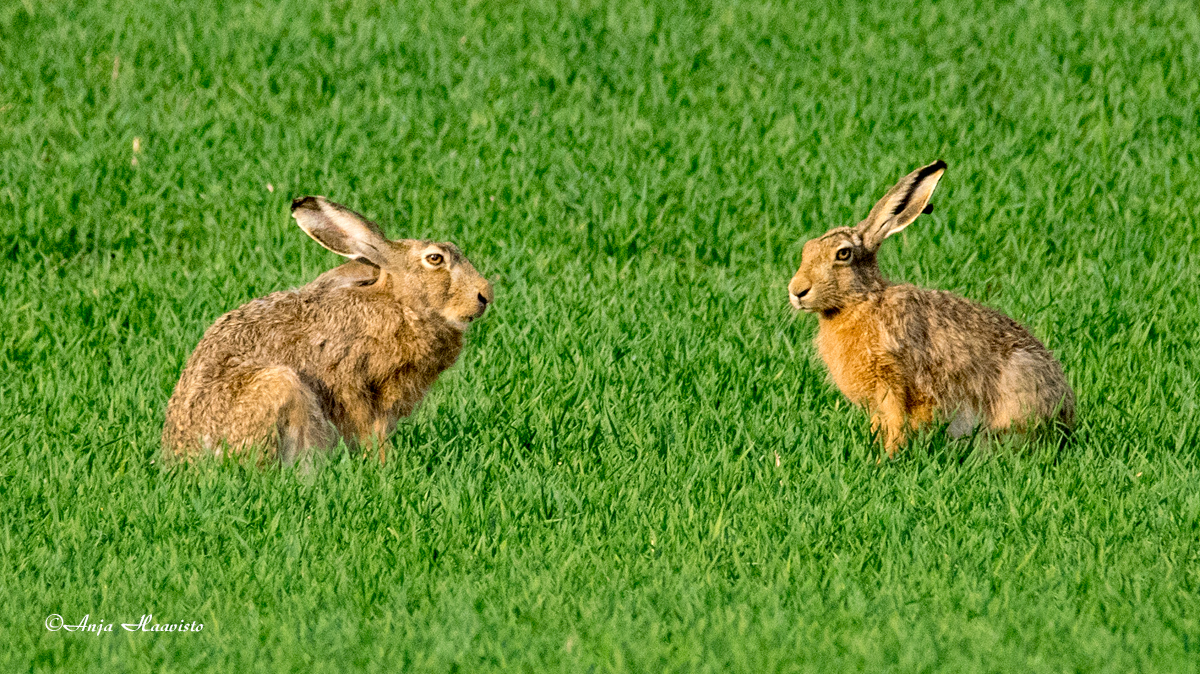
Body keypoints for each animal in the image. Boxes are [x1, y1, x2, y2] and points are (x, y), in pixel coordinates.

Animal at [161, 196, 494, 466]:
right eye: (435, 259)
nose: (486, 295)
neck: (402, 304)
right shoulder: (354, 383)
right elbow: (368, 429)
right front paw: (384, 465)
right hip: (278, 386)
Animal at [787, 160, 1074, 457]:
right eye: (807, 250)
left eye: (843, 254)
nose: (797, 291)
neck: (862, 300)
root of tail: (1067, 418)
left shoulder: (897, 383)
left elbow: (898, 423)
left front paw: (888, 458)